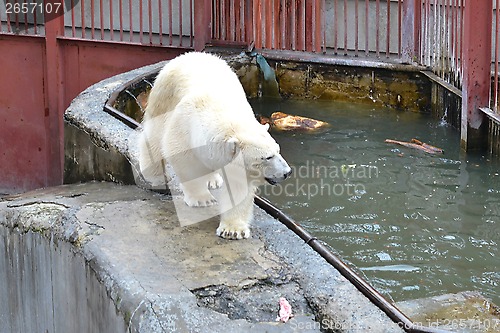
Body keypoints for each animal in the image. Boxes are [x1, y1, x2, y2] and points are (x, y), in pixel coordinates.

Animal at [138, 52, 292, 239]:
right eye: (267, 157)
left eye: (278, 151)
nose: (287, 172)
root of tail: (193, 54)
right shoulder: (184, 129)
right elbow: (186, 163)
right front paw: (202, 199)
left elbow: (237, 186)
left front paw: (232, 230)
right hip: (164, 95)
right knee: (154, 135)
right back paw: (154, 175)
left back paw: (213, 180)